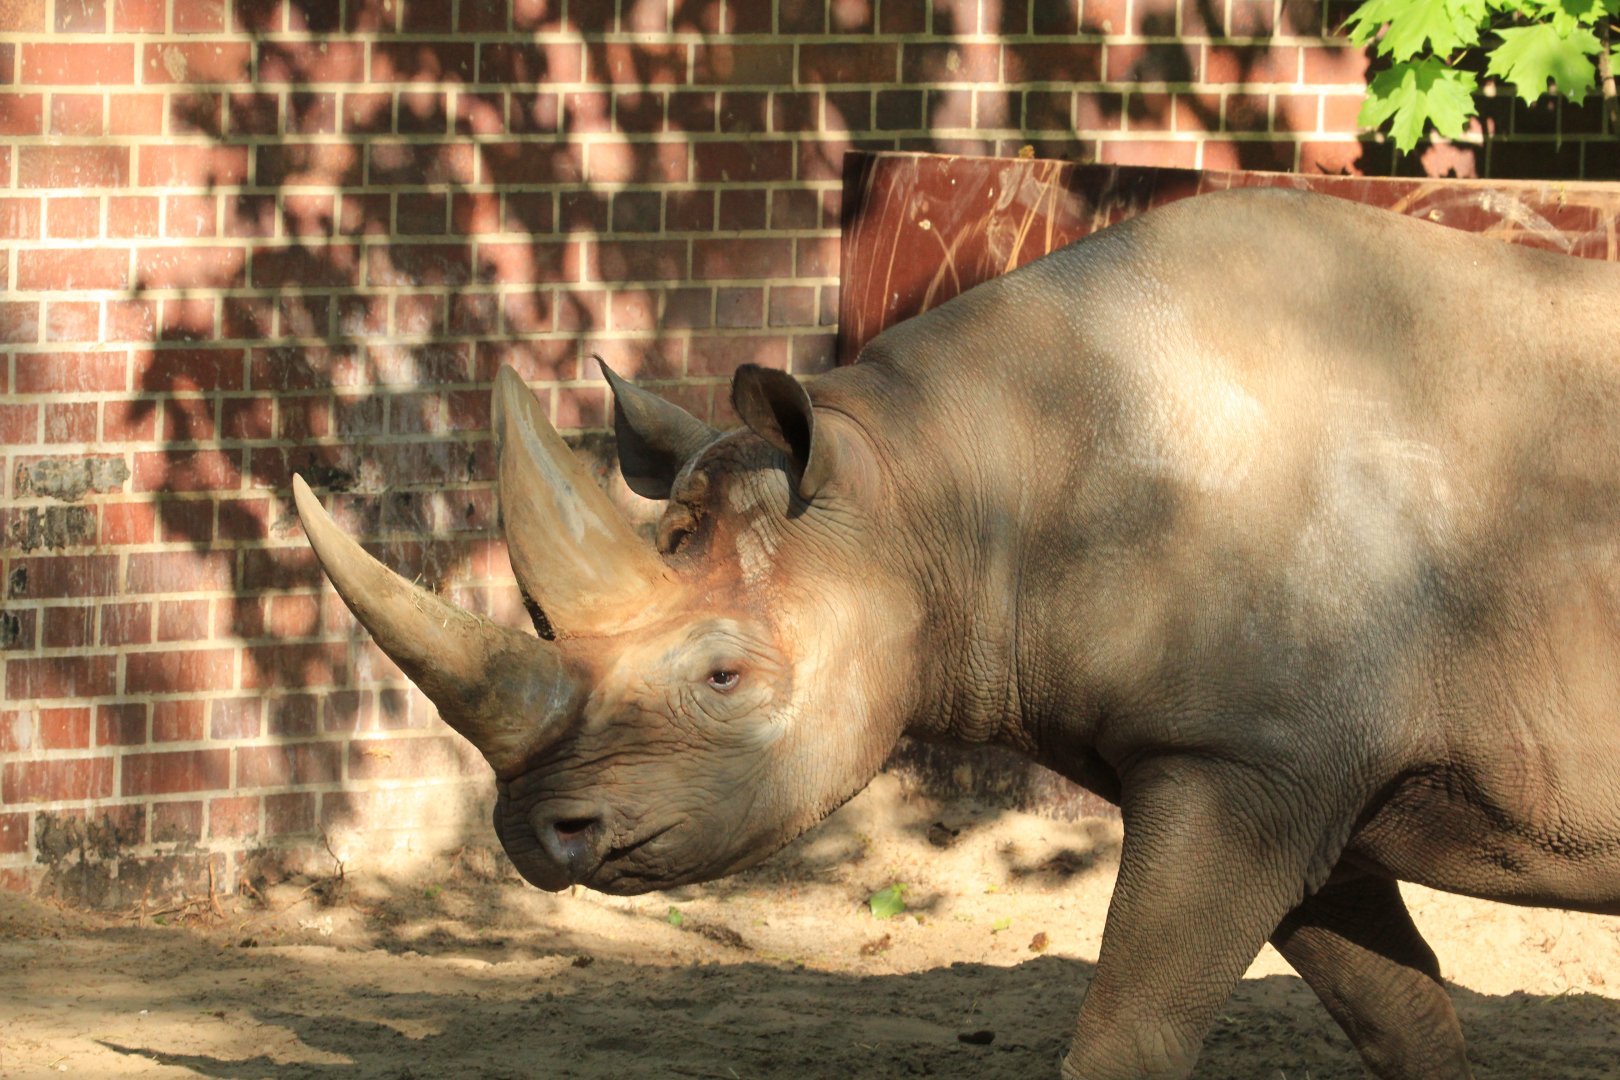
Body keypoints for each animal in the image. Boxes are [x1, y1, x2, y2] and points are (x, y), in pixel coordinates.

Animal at [293, 187, 1620, 1079]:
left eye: (724, 677)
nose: (533, 833)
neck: (933, 485)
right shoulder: (1292, 765)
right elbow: (1404, 1013)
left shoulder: (1242, 760)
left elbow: (1128, 1037)